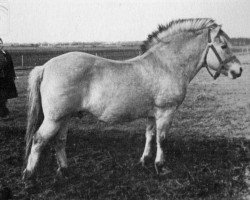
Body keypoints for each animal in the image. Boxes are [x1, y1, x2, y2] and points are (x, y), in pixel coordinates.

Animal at [22, 18, 242, 186]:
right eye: (223, 46)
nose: (239, 70)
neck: (166, 65)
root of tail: (45, 66)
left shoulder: (153, 114)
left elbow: (150, 135)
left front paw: (144, 161)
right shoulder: (166, 112)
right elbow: (162, 138)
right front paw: (160, 166)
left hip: (64, 117)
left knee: (59, 141)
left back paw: (65, 171)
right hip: (54, 119)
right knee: (39, 140)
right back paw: (29, 177)